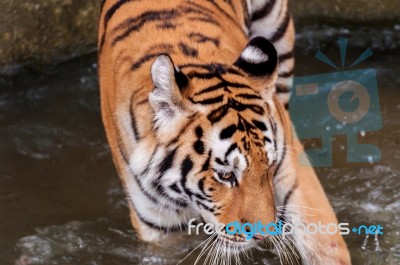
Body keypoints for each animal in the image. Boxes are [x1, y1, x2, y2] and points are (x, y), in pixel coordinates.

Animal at [98, 0, 352, 264]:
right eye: (226, 175)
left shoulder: (293, 171)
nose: (263, 235)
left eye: (270, 166)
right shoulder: (159, 226)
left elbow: (324, 242)